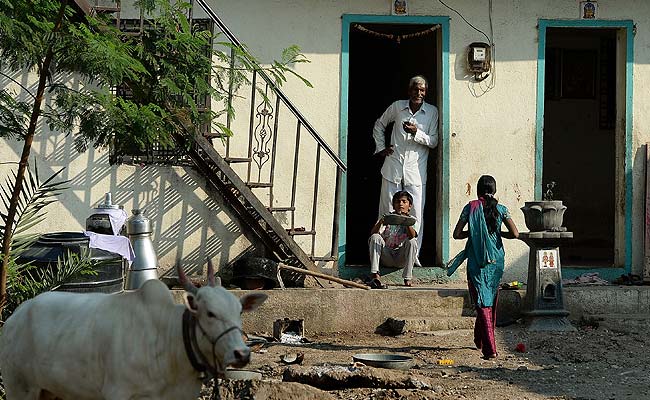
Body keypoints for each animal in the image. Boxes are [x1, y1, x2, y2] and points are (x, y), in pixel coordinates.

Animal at [0, 260, 266, 398]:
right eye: (210, 313)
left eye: (239, 312)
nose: (242, 354)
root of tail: (15, 317)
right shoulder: (118, 392)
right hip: (19, 388)